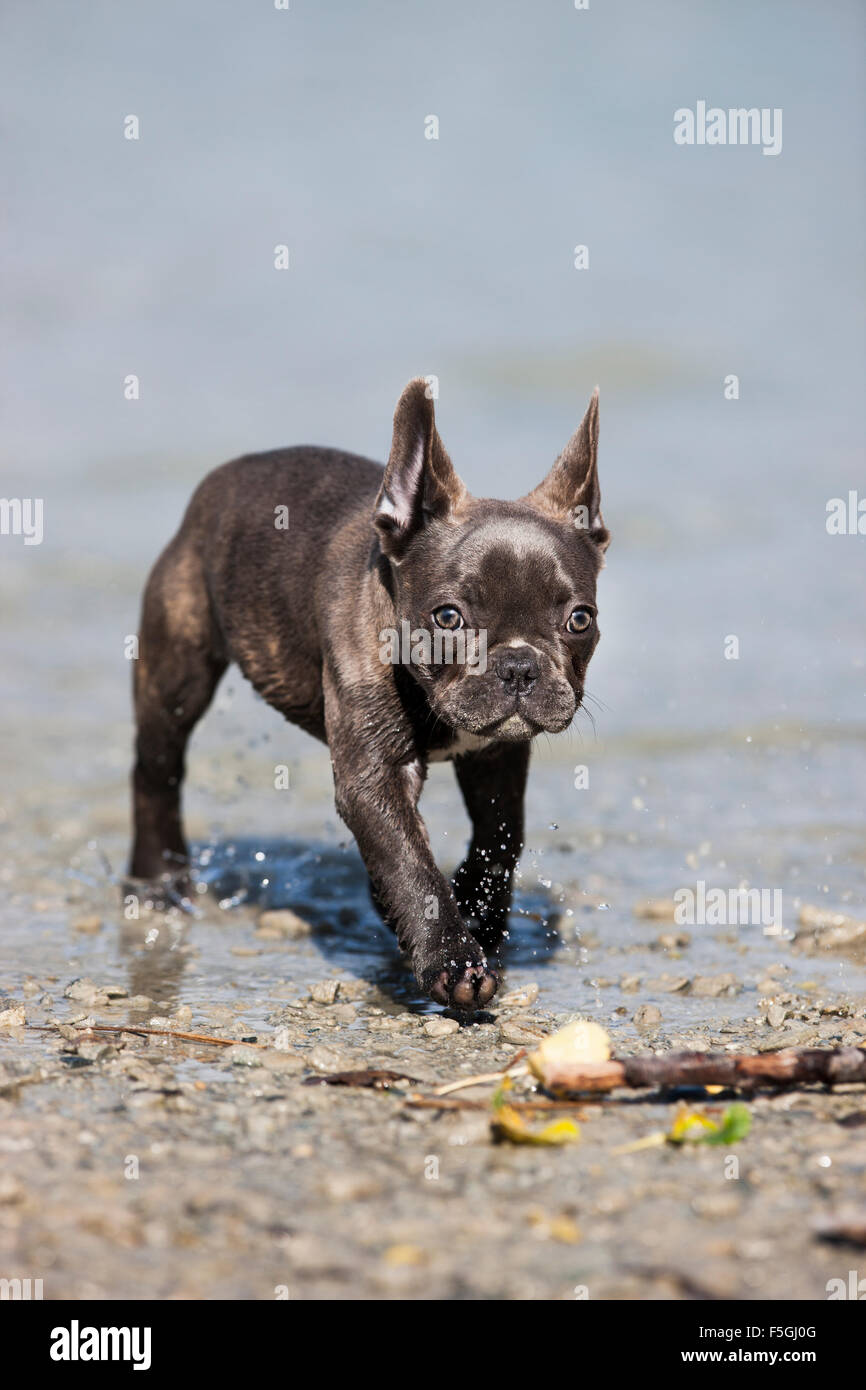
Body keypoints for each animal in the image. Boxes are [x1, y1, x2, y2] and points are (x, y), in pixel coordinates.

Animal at [132, 380, 614, 1011]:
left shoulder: (497, 755)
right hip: (177, 670)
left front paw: (477, 911)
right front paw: (451, 959)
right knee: (157, 769)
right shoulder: (374, 775)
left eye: (580, 618)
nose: (518, 666)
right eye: (448, 617)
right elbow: (410, 863)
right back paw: (157, 883)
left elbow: (501, 834)